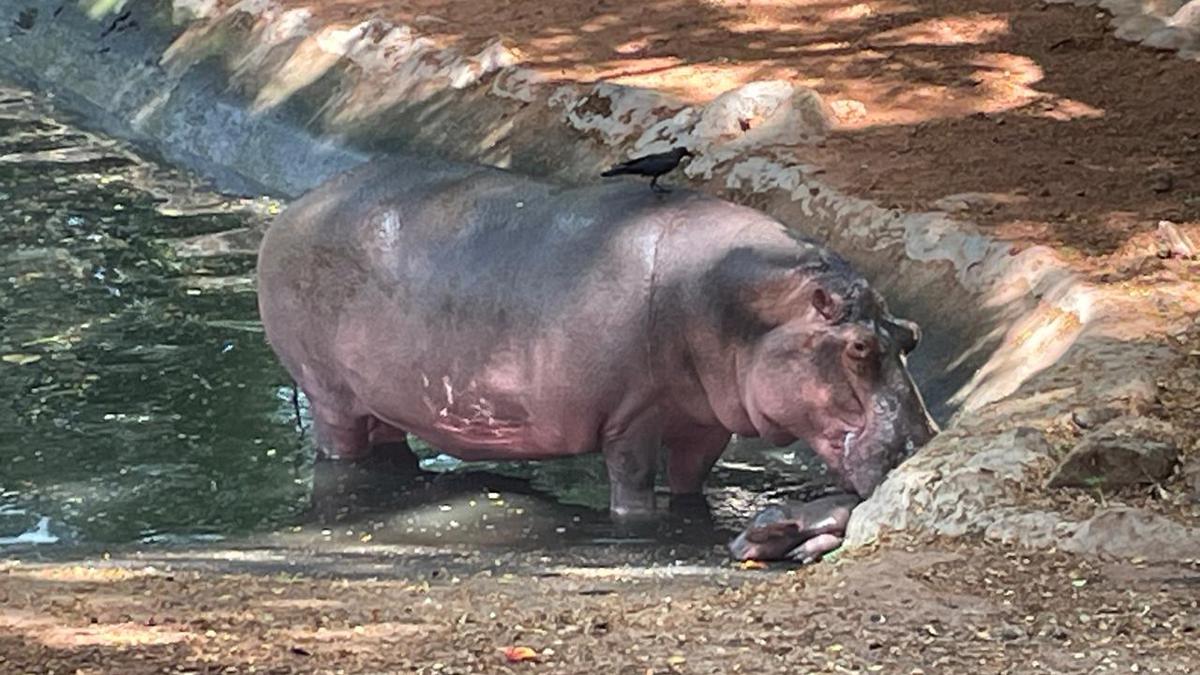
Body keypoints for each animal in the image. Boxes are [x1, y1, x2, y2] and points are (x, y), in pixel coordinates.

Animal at [260, 154, 936, 516]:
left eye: (911, 335)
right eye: (858, 347)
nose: (919, 450)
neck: (746, 310)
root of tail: (300, 206)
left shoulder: (705, 421)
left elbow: (690, 480)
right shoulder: (631, 417)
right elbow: (633, 485)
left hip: (383, 396)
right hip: (328, 394)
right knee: (339, 451)